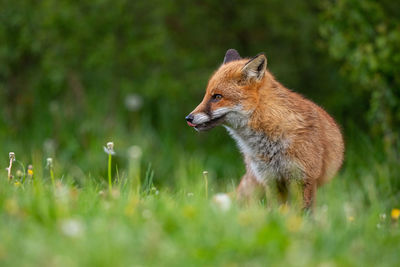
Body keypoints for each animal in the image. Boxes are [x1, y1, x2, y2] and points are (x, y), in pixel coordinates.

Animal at [185, 49, 344, 210]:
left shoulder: (303, 179)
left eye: (217, 97)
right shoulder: (270, 180)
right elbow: (275, 211)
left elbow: (301, 213)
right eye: (206, 95)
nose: (188, 118)